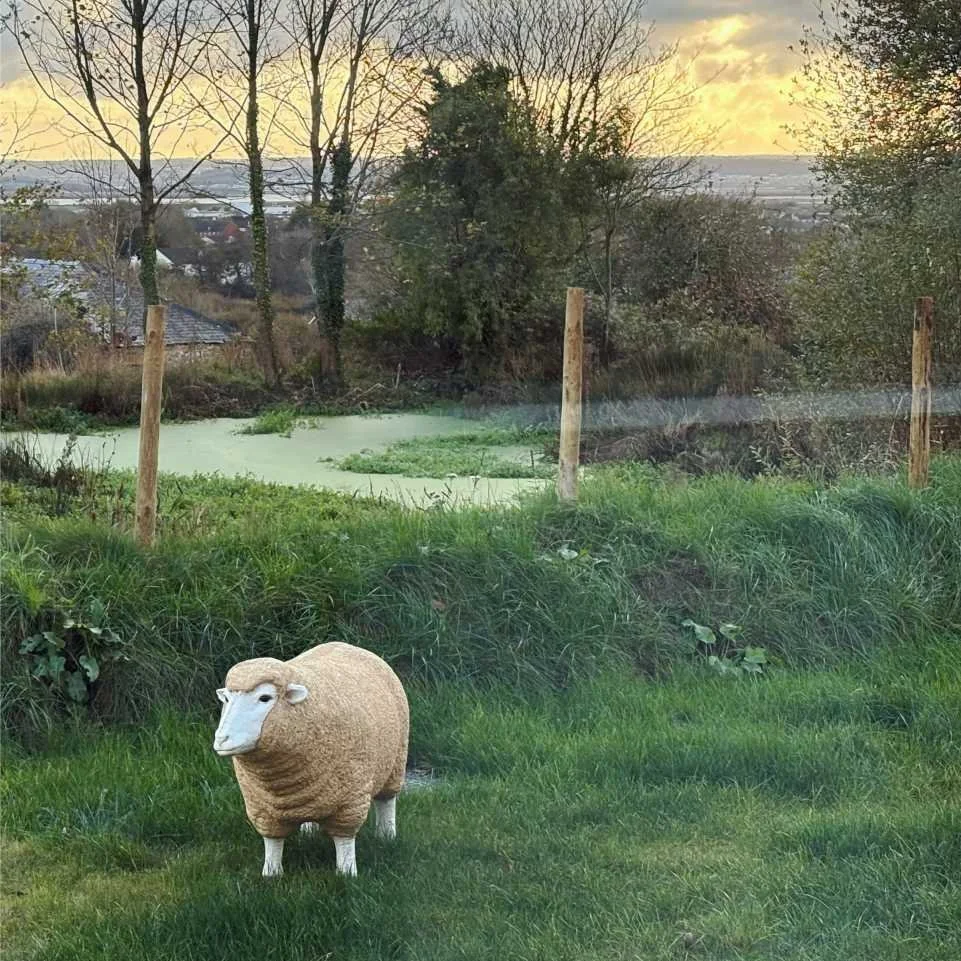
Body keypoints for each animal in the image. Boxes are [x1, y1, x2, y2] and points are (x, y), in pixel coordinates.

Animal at [213, 641, 409, 878]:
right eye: (227, 699)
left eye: (265, 698)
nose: (221, 739)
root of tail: (346, 645)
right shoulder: (261, 805)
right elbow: (272, 842)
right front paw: (271, 873)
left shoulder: (350, 800)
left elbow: (344, 841)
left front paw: (346, 872)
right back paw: (310, 832)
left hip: (396, 763)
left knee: (386, 801)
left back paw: (386, 835)